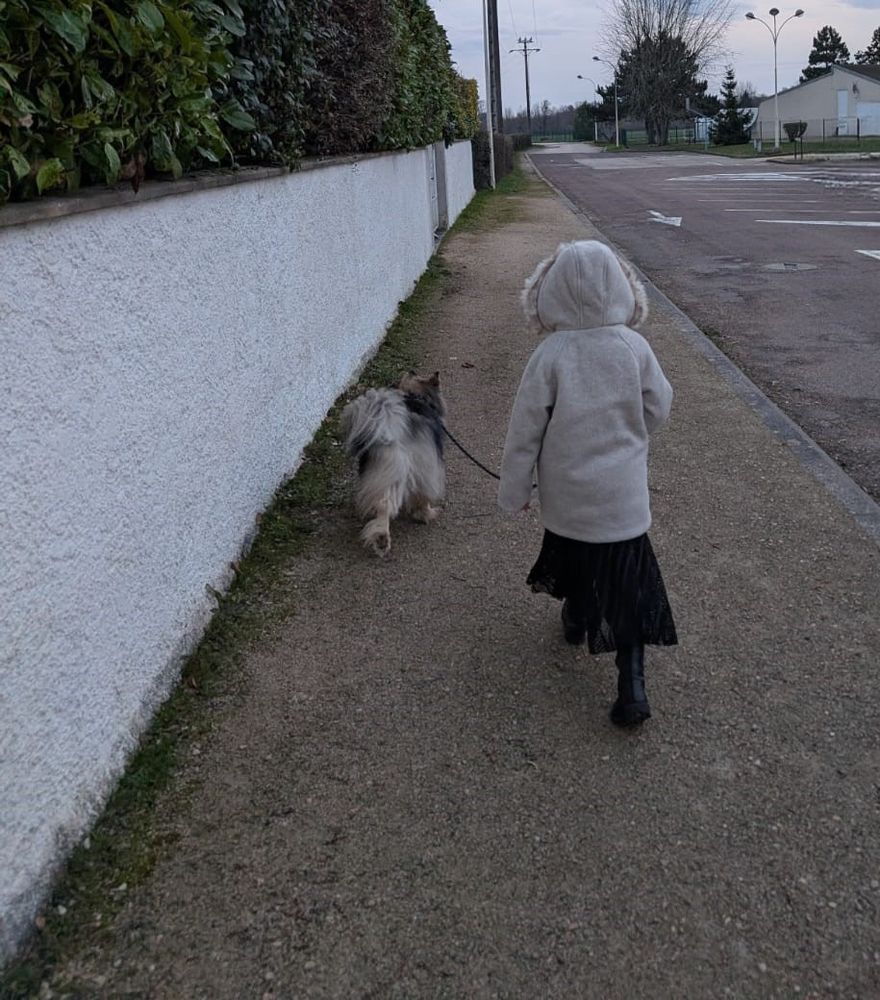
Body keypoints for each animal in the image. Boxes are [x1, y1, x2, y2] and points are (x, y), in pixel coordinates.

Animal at [341, 371, 446, 556]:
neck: (417, 396)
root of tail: (390, 428)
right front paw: (424, 513)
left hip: (384, 468)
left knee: (383, 503)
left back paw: (381, 537)